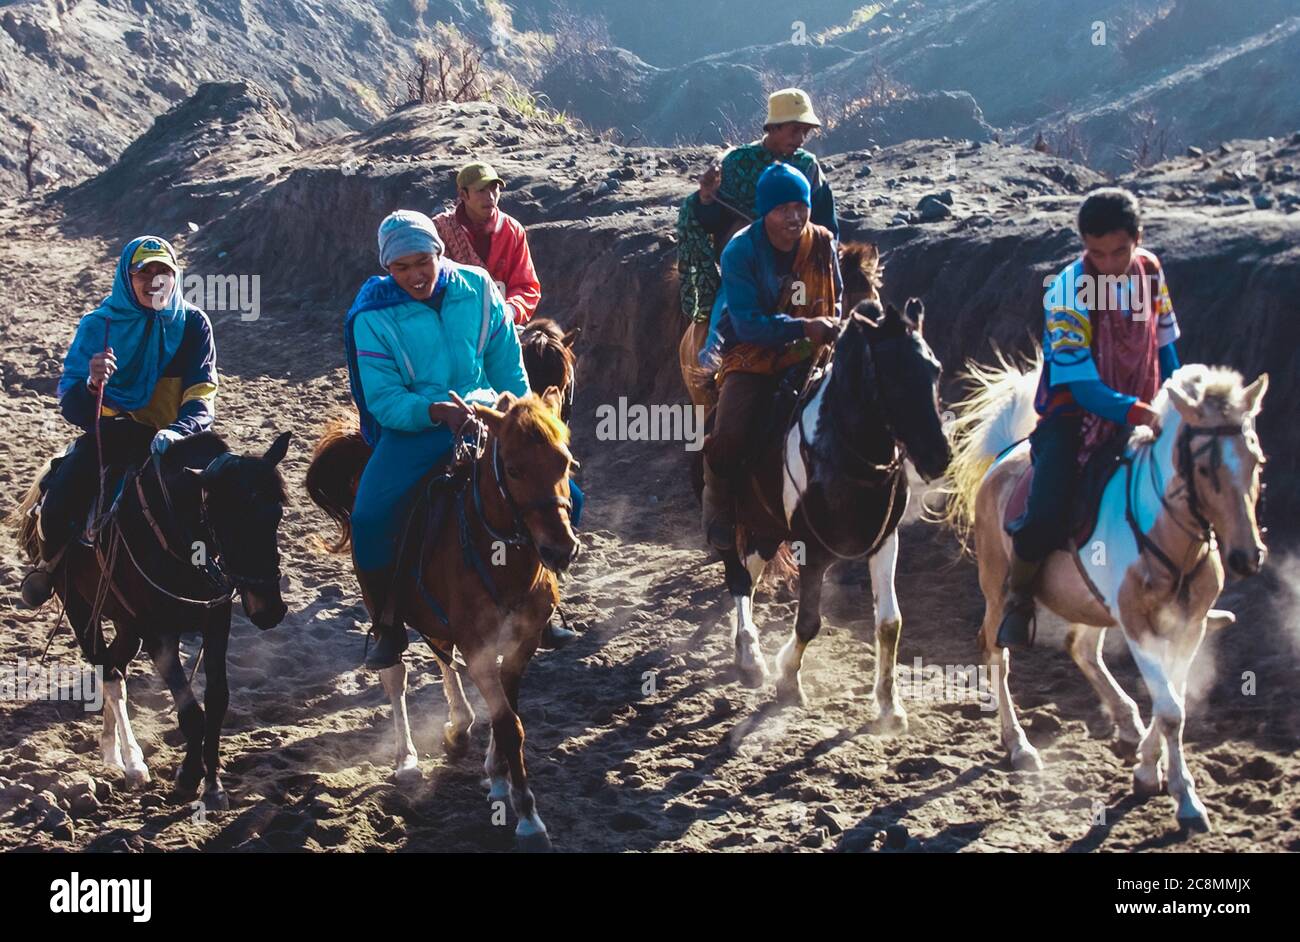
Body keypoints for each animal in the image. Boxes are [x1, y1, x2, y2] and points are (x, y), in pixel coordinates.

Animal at [15, 428, 291, 805]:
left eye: (276, 514)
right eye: (228, 522)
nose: (270, 609)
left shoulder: (216, 622)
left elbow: (217, 701)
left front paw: (213, 784)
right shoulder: (159, 636)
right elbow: (191, 712)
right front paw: (188, 777)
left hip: (127, 624)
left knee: (114, 666)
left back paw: (111, 749)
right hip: (81, 610)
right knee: (110, 675)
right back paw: (132, 763)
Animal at [306, 389, 577, 852]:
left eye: (565, 462)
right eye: (515, 469)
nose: (561, 549)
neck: (501, 559)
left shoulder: (521, 644)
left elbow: (507, 713)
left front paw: (497, 775)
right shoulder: (479, 646)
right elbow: (509, 723)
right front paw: (527, 817)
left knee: (441, 654)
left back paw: (459, 724)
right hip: (381, 610)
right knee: (396, 675)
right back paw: (407, 759)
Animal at [696, 297, 951, 722]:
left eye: (935, 369)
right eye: (893, 376)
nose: (938, 456)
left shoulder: (885, 542)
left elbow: (890, 623)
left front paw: (889, 707)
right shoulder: (811, 550)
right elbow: (808, 623)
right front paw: (788, 681)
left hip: (767, 529)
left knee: (751, 573)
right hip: (734, 519)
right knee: (738, 576)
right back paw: (749, 656)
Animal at [946, 356, 1268, 826]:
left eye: (1255, 461)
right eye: (1205, 469)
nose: (1247, 556)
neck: (1170, 533)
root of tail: (1006, 455)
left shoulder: (1188, 626)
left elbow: (1173, 700)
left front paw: (1149, 768)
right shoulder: (1136, 623)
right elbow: (1170, 710)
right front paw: (1184, 797)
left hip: (1092, 601)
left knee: (1081, 648)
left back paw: (1126, 721)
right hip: (997, 587)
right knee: (997, 654)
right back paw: (1019, 745)